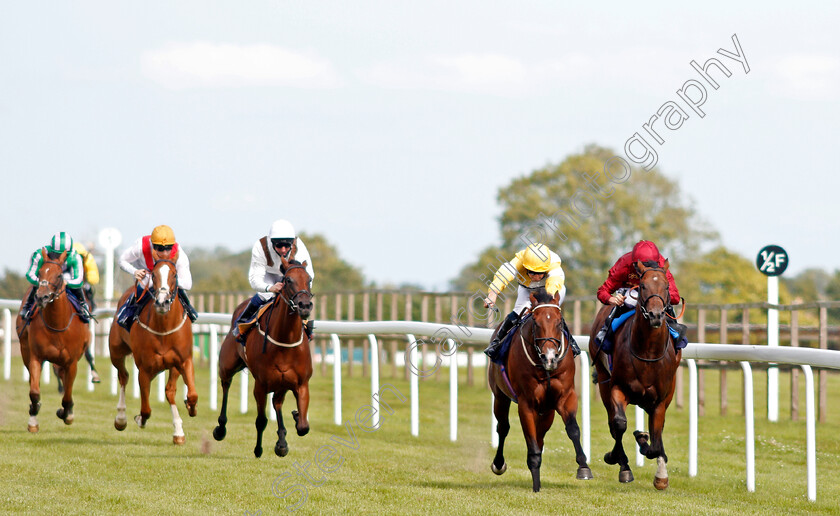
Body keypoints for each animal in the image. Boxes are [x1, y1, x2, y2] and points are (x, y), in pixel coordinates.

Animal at [16, 249, 90, 432]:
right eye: (40, 273)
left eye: (59, 275)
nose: (41, 297)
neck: (57, 324)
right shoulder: (36, 357)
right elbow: (34, 392)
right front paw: (33, 419)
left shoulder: (72, 362)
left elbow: (67, 395)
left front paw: (67, 414)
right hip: (25, 351)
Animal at [108, 253, 199, 444]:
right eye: (154, 275)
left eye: (174, 274)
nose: (162, 302)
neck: (163, 329)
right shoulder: (144, 369)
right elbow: (146, 410)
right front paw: (139, 419)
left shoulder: (182, 361)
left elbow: (189, 394)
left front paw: (190, 408)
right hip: (116, 353)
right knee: (123, 377)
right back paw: (121, 418)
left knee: (168, 391)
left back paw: (178, 430)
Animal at [212, 252, 314, 458]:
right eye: (288, 280)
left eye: (309, 279)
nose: (305, 306)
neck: (285, 340)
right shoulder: (260, 384)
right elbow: (261, 420)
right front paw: (258, 449)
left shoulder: (301, 384)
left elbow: (303, 427)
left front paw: (295, 418)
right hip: (227, 365)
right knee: (226, 385)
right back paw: (220, 428)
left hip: (282, 383)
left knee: (277, 402)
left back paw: (282, 439)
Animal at [486, 290, 592, 492]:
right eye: (536, 322)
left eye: (559, 322)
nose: (550, 357)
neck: (545, 368)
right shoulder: (526, 403)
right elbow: (532, 444)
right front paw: (536, 485)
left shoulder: (565, 397)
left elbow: (573, 429)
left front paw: (583, 468)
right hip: (500, 396)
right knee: (503, 427)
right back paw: (498, 464)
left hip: (547, 410)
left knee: (540, 436)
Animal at [592, 260, 684, 490]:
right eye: (642, 286)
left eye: (667, 286)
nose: (655, 315)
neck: (648, 352)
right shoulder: (618, 388)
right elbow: (619, 424)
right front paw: (619, 460)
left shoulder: (661, 400)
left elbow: (656, 440)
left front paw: (661, 474)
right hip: (603, 381)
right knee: (613, 422)